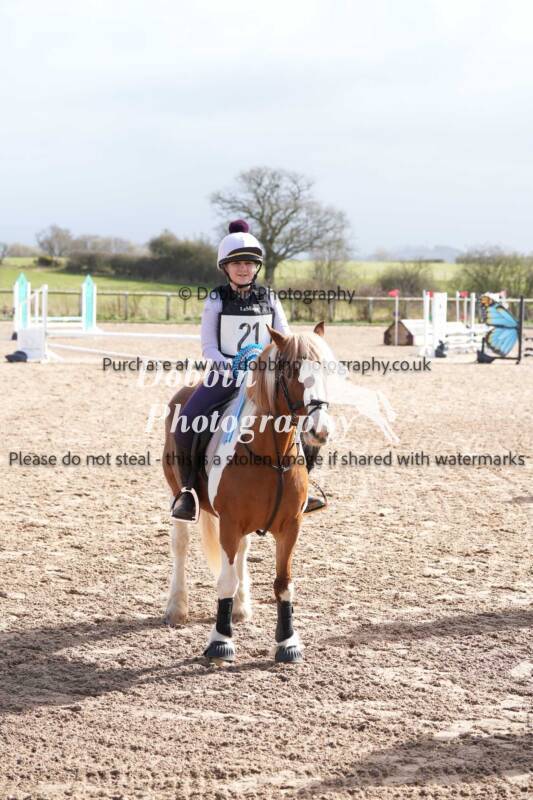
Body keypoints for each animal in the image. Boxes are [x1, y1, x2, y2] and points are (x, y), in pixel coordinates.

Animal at [162, 322, 333, 663]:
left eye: (326, 368)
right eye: (291, 369)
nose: (319, 430)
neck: (271, 455)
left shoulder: (290, 527)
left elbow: (283, 584)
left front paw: (287, 643)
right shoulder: (229, 523)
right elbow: (225, 581)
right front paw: (220, 641)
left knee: (241, 552)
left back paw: (241, 607)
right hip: (178, 494)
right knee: (181, 545)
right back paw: (177, 607)